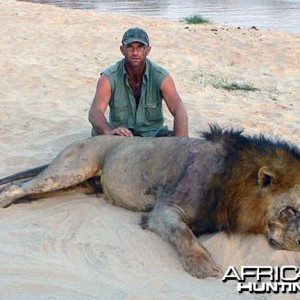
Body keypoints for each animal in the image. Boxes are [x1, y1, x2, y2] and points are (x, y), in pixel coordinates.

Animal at [0, 125, 300, 278]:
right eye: (289, 210)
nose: (299, 241)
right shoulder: (164, 209)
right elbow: (183, 232)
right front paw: (203, 265)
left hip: (80, 187)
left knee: (29, 190)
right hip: (72, 168)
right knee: (17, 186)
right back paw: (5, 201)